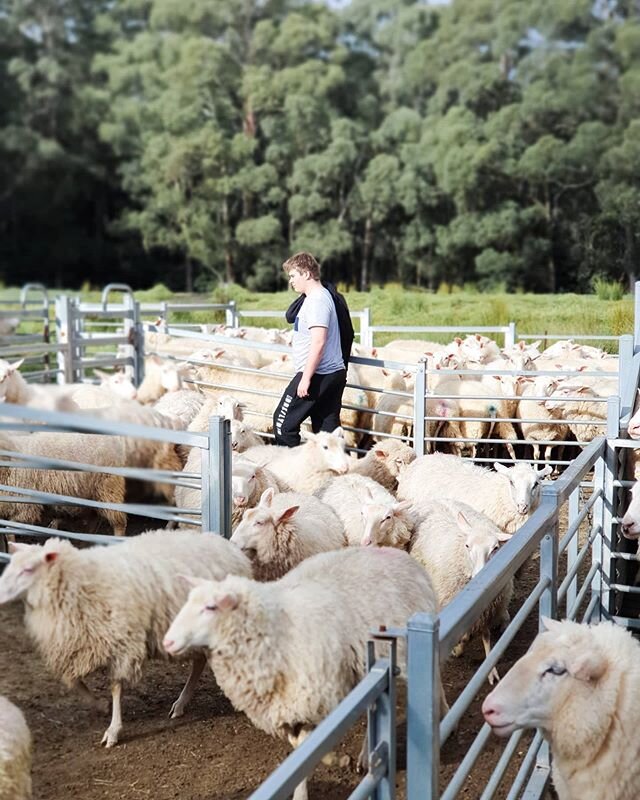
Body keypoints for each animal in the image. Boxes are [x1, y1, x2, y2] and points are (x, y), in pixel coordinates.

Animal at [0, 432, 128, 536]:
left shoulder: (26, 507)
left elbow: (9, 529)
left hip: (108, 486)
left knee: (119, 522)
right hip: (90, 491)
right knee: (94, 518)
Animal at [0, 532, 251, 752]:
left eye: (28, 569)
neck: (79, 582)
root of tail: (227, 545)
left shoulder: (122, 641)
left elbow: (115, 686)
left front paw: (113, 730)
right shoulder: (77, 644)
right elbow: (75, 682)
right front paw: (100, 705)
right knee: (199, 662)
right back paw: (181, 704)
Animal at [164, 548, 444, 800]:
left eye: (211, 607)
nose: (168, 641)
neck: (276, 628)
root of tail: (401, 555)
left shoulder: (314, 697)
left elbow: (307, 746)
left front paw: (334, 759)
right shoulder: (288, 707)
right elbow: (300, 750)